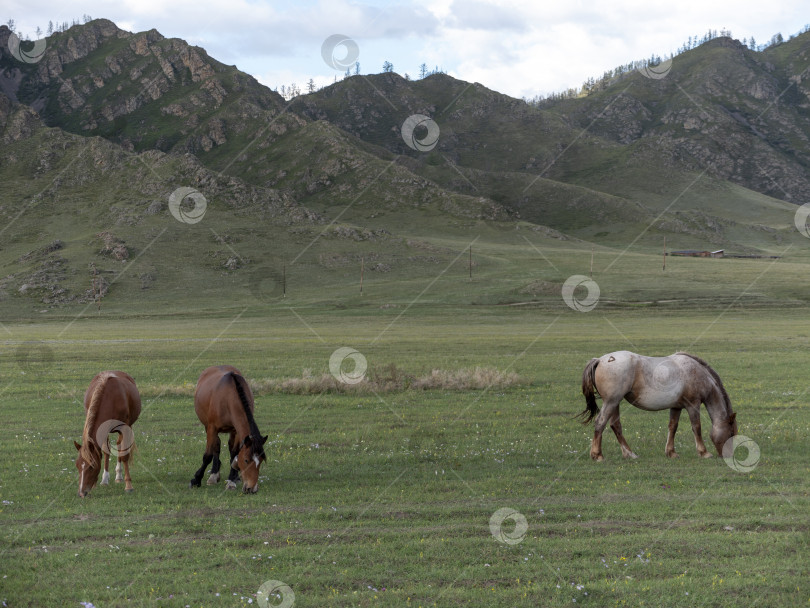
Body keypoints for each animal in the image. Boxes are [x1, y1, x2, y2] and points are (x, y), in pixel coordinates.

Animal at [189, 366, 268, 494]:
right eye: (246, 460)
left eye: (260, 460)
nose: (252, 488)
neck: (229, 398)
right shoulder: (212, 428)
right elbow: (208, 455)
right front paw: (196, 480)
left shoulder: (237, 431)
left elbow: (235, 453)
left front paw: (231, 481)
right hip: (207, 426)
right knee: (216, 446)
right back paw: (214, 475)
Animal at [576, 352, 736, 460]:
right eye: (731, 433)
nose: (727, 455)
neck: (697, 372)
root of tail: (600, 360)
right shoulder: (693, 405)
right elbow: (696, 427)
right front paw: (704, 452)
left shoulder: (676, 407)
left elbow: (673, 427)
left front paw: (671, 452)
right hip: (611, 402)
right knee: (600, 423)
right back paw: (597, 455)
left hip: (615, 403)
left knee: (616, 426)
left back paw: (630, 454)